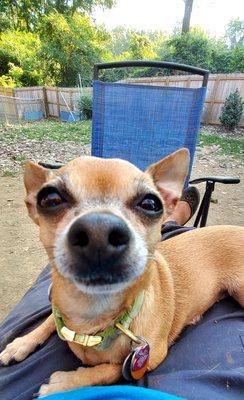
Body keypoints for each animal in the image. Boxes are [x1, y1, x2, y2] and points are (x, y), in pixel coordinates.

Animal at [0, 148, 244, 396]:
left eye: (150, 204)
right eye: (51, 199)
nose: (99, 231)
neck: (91, 315)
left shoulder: (151, 357)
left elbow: (109, 369)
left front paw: (64, 383)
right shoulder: (60, 306)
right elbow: (51, 318)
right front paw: (22, 342)